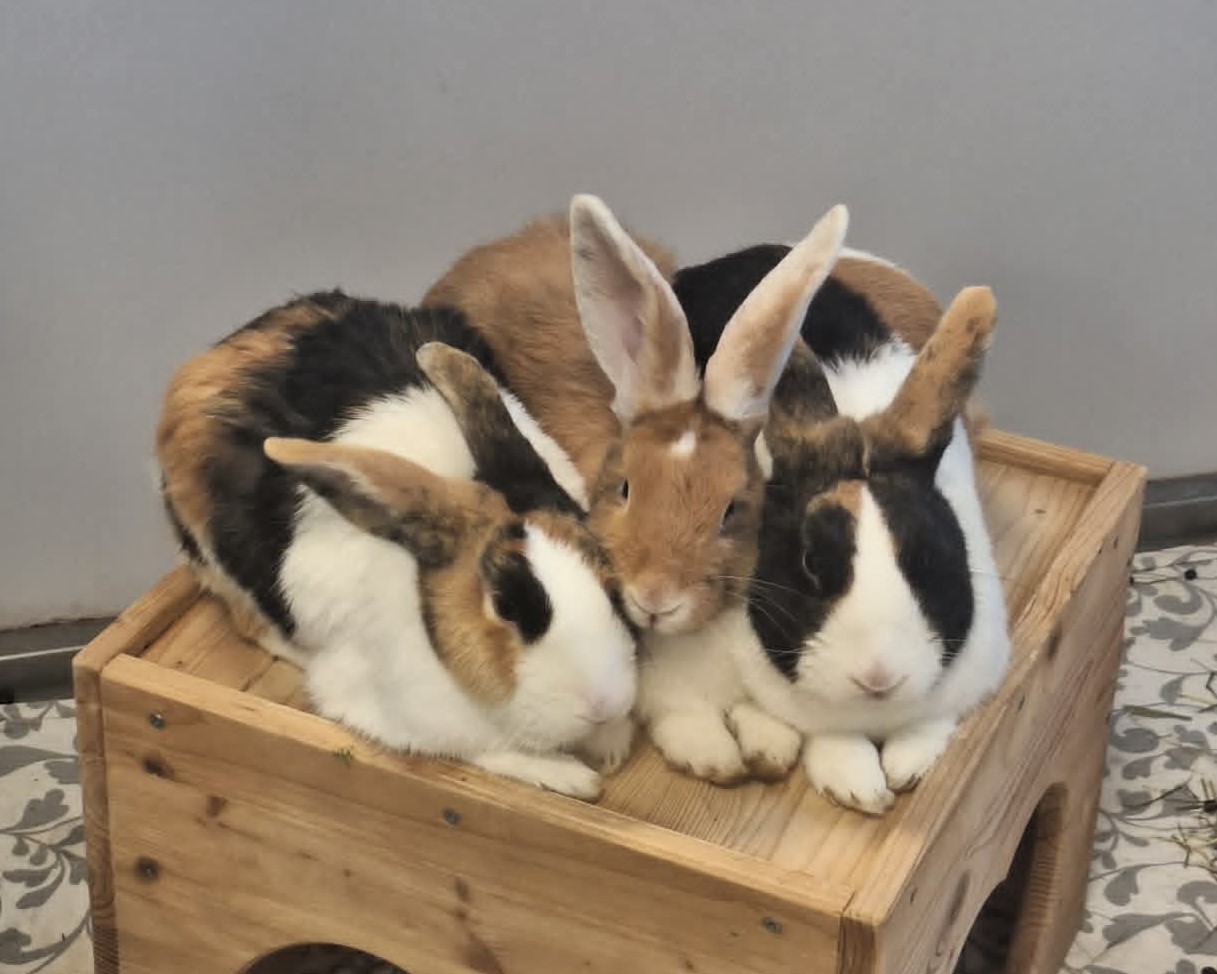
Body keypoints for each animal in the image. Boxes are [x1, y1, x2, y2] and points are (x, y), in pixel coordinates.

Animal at [155, 291, 639, 800]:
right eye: (506, 606)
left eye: (611, 587)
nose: (603, 703)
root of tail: (227, 345)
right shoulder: (391, 711)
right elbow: (483, 749)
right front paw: (573, 776)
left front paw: (612, 744)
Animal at [646, 251, 1009, 811]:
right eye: (809, 565)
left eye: (927, 558)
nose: (879, 677)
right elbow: (829, 737)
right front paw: (857, 784)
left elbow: (931, 722)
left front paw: (905, 765)